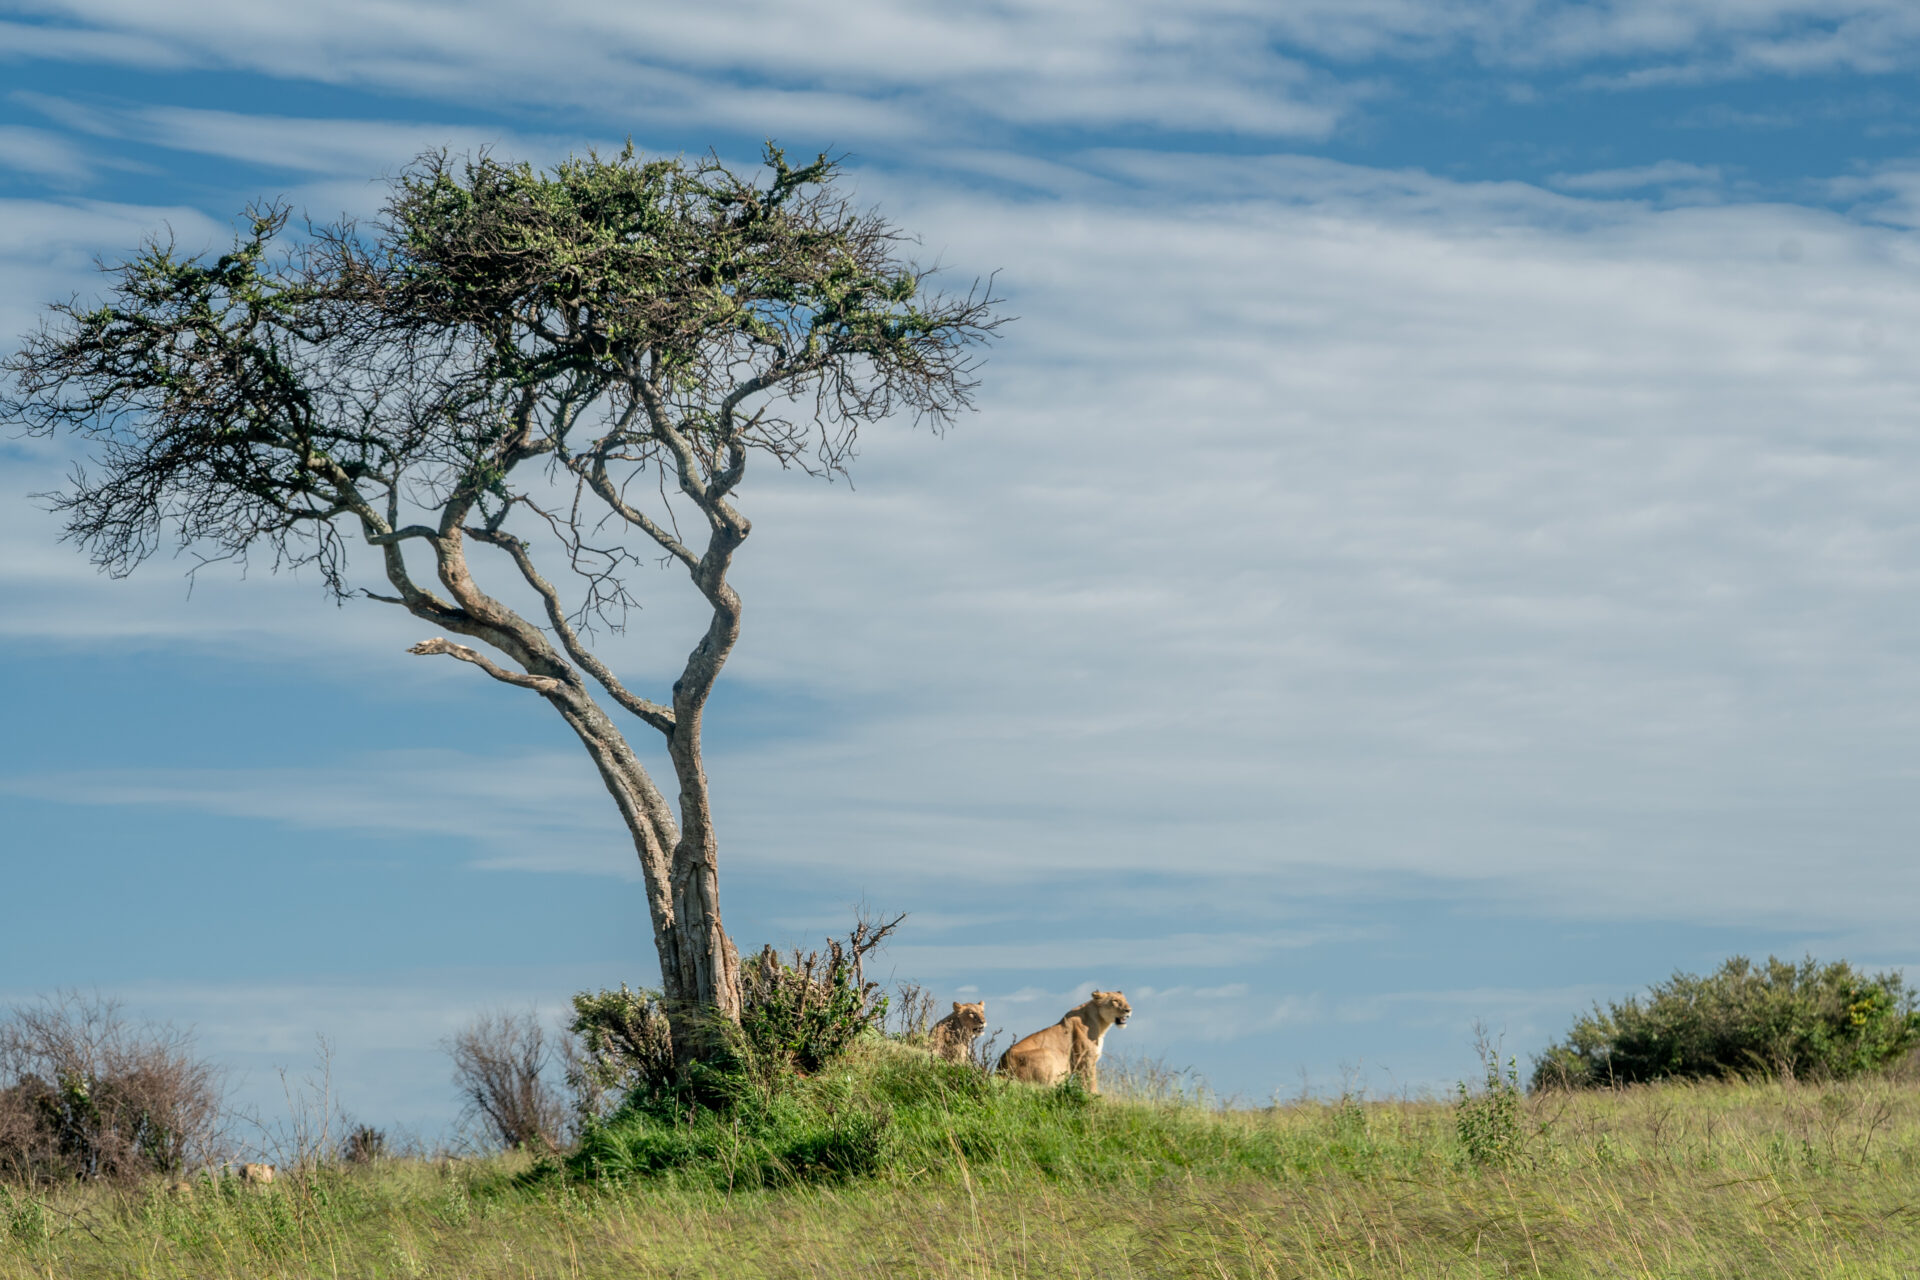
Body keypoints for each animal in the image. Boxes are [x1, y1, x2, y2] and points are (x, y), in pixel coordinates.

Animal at [997, 990, 1131, 1093]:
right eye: (1115, 1001)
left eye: (1125, 1000)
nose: (1129, 1010)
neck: (1101, 1024)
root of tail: (1000, 1068)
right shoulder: (1085, 1059)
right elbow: (1091, 1081)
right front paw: (1095, 1096)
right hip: (1046, 1053)